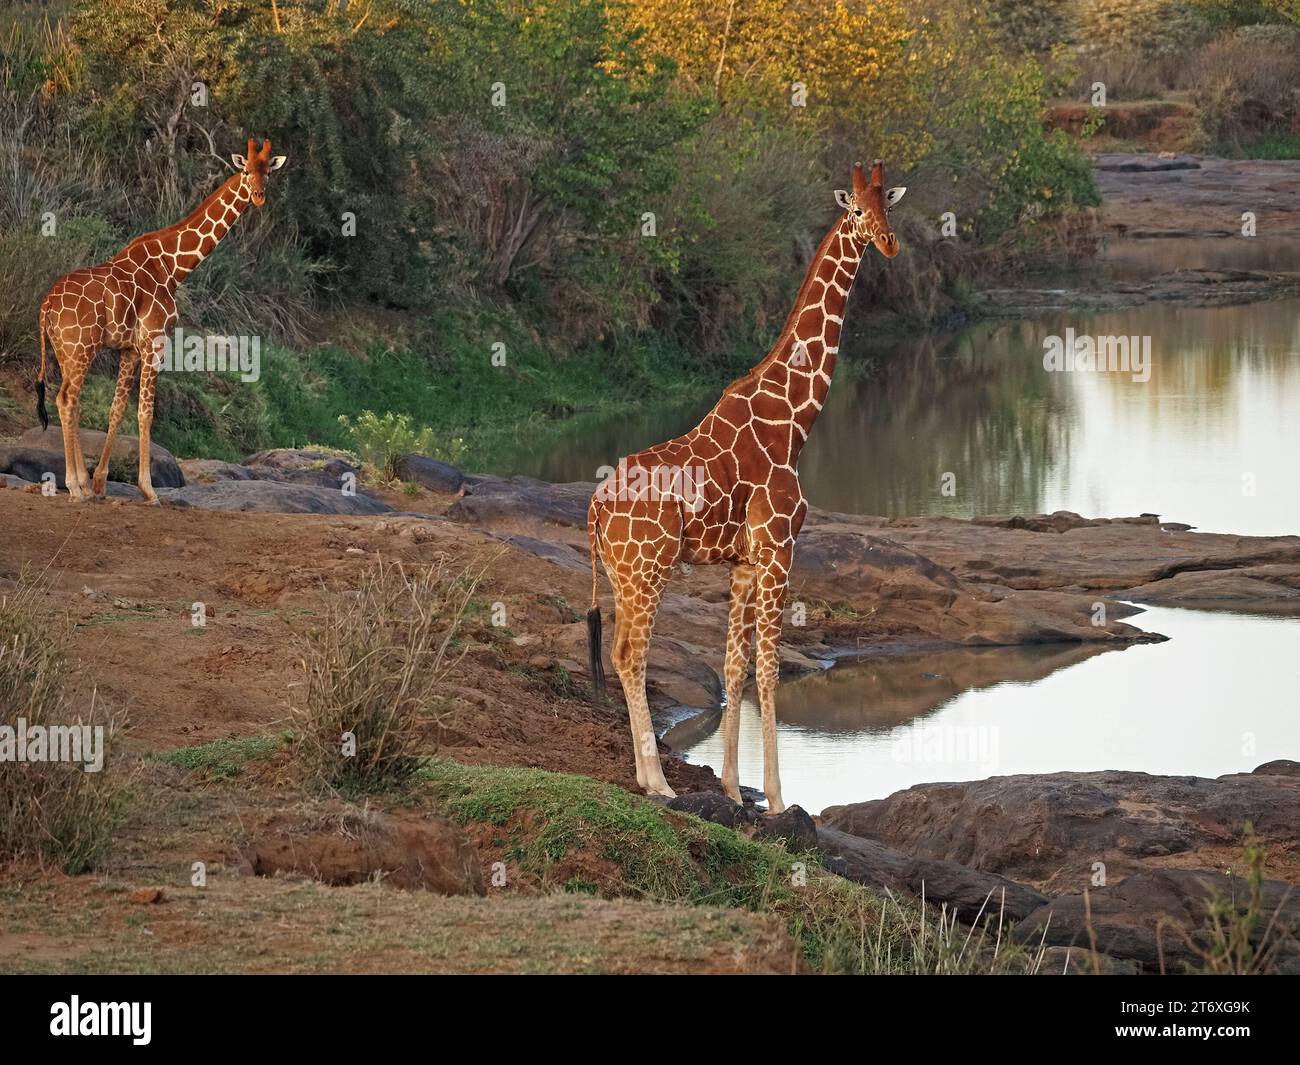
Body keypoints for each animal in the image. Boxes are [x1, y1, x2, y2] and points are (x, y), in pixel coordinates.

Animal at [35, 138, 287, 503]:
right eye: (245, 171)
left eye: (267, 172)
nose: (258, 196)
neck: (173, 267)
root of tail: (46, 306)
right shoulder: (155, 339)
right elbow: (146, 411)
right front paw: (149, 490)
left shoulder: (129, 349)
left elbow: (117, 409)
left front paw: (101, 483)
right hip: (81, 347)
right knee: (66, 399)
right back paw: (75, 486)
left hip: (64, 349)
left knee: (71, 400)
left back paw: (82, 484)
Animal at [586, 160, 906, 813]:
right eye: (856, 212)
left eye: (889, 206)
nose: (888, 243)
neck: (792, 423)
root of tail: (595, 508)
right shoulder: (780, 546)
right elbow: (769, 668)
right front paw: (780, 800)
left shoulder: (743, 559)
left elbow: (735, 668)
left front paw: (735, 790)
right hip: (648, 569)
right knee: (631, 656)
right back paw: (658, 783)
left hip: (623, 574)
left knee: (620, 654)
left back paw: (647, 777)